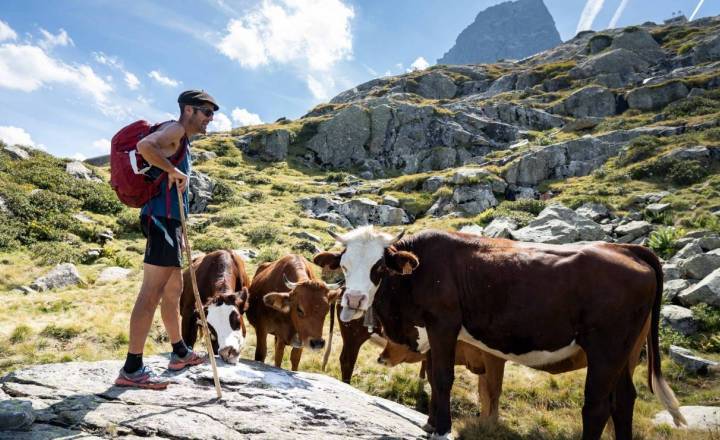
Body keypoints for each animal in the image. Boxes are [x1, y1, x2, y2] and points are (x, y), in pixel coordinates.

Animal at [316, 227, 688, 440]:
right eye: (344, 265)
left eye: (378, 267)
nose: (354, 299)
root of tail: (626, 249)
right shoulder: (432, 331)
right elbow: (435, 376)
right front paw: (431, 423)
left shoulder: (443, 324)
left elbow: (444, 378)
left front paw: (442, 427)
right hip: (625, 351)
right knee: (624, 400)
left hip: (605, 349)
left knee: (597, 406)